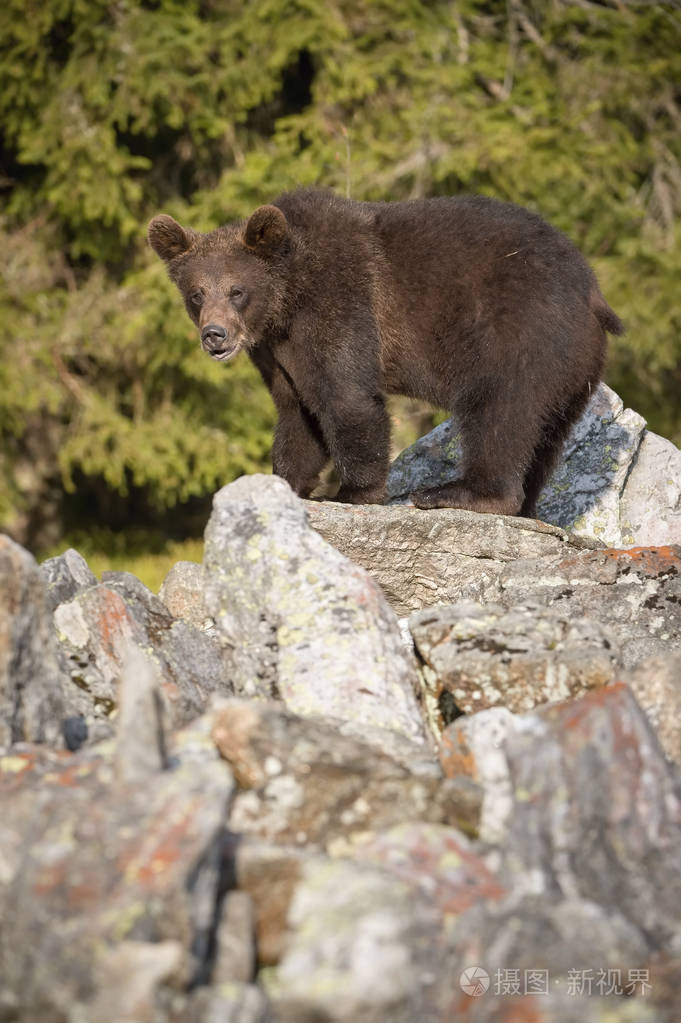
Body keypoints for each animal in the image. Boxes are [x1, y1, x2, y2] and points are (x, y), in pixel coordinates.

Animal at [148, 188, 623, 517]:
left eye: (237, 290)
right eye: (196, 293)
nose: (215, 336)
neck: (286, 302)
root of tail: (592, 289)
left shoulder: (339, 304)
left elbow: (346, 396)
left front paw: (352, 492)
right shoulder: (276, 352)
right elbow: (297, 412)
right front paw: (284, 482)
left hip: (521, 333)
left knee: (498, 410)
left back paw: (457, 493)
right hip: (574, 368)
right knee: (548, 433)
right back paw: (525, 503)